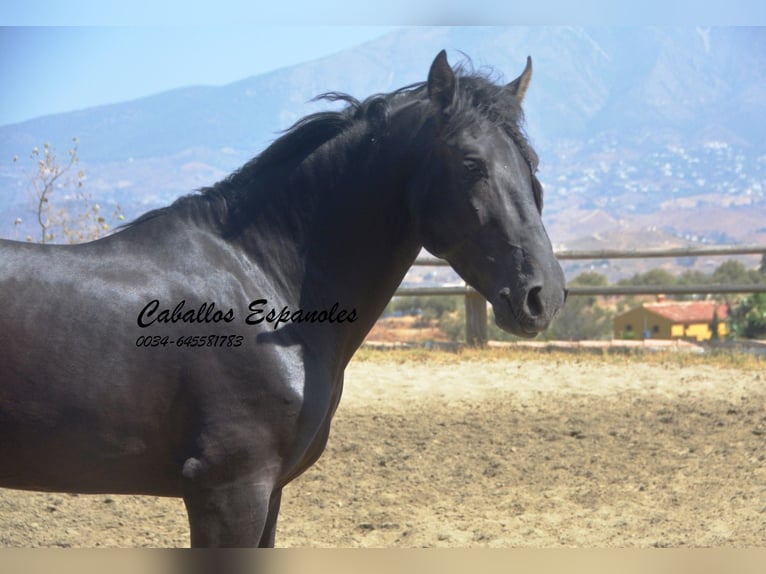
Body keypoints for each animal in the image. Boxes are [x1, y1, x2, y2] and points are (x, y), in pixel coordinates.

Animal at [0, 50, 564, 548]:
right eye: (472, 163)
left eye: (531, 163)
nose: (546, 295)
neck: (261, 284)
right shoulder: (229, 493)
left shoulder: (268, 493)